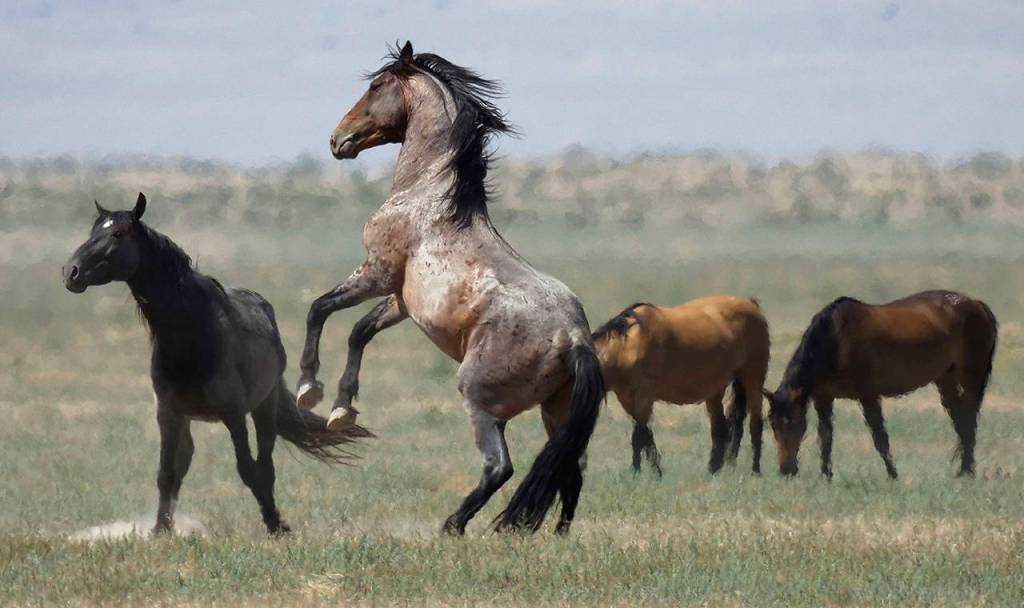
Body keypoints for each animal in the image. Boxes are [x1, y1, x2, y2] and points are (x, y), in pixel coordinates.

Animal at [61, 194, 369, 535]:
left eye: (118, 233)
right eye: (93, 231)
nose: (71, 272)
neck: (193, 334)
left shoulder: (233, 414)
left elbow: (249, 470)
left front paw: (275, 524)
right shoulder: (168, 414)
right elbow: (166, 473)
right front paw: (159, 531)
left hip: (264, 407)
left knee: (265, 464)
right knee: (184, 464)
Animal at [294, 42, 604, 536]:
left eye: (375, 86)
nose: (337, 140)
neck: (429, 196)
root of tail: (575, 340)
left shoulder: (376, 274)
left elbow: (319, 309)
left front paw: (309, 388)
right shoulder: (400, 301)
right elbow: (359, 332)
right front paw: (343, 409)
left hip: (479, 400)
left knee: (501, 467)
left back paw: (453, 526)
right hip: (555, 413)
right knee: (568, 469)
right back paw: (555, 536)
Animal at [591, 297, 771, 476]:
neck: (625, 348)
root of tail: (750, 303)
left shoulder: (644, 398)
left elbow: (639, 436)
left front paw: (645, 473)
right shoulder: (627, 399)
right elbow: (644, 436)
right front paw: (647, 472)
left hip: (753, 380)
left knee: (755, 424)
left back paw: (755, 470)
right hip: (716, 390)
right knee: (721, 429)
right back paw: (714, 470)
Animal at [764, 290, 997, 479]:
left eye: (792, 422)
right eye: (772, 424)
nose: (786, 470)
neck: (836, 340)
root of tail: (978, 305)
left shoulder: (868, 396)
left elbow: (880, 438)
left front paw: (893, 474)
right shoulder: (823, 398)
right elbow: (825, 438)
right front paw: (825, 475)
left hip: (972, 377)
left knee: (969, 421)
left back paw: (967, 472)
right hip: (945, 378)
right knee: (960, 421)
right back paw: (963, 470)